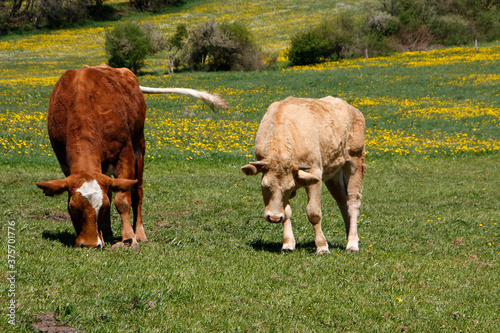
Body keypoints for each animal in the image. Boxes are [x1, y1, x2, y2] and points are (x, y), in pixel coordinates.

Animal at [36, 64, 228, 246]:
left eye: (104, 207)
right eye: (72, 207)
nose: (90, 244)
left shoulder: (125, 155)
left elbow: (122, 200)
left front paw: (129, 237)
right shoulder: (65, 163)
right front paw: (105, 233)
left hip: (139, 149)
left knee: (138, 193)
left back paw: (140, 233)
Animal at [240, 95, 366, 252]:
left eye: (289, 188)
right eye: (264, 186)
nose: (274, 218)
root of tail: (353, 109)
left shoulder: (314, 173)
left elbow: (314, 213)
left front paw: (322, 247)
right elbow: (287, 212)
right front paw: (288, 243)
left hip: (355, 161)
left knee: (353, 202)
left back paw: (352, 243)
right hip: (334, 173)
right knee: (343, 201)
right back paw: (350, 236)